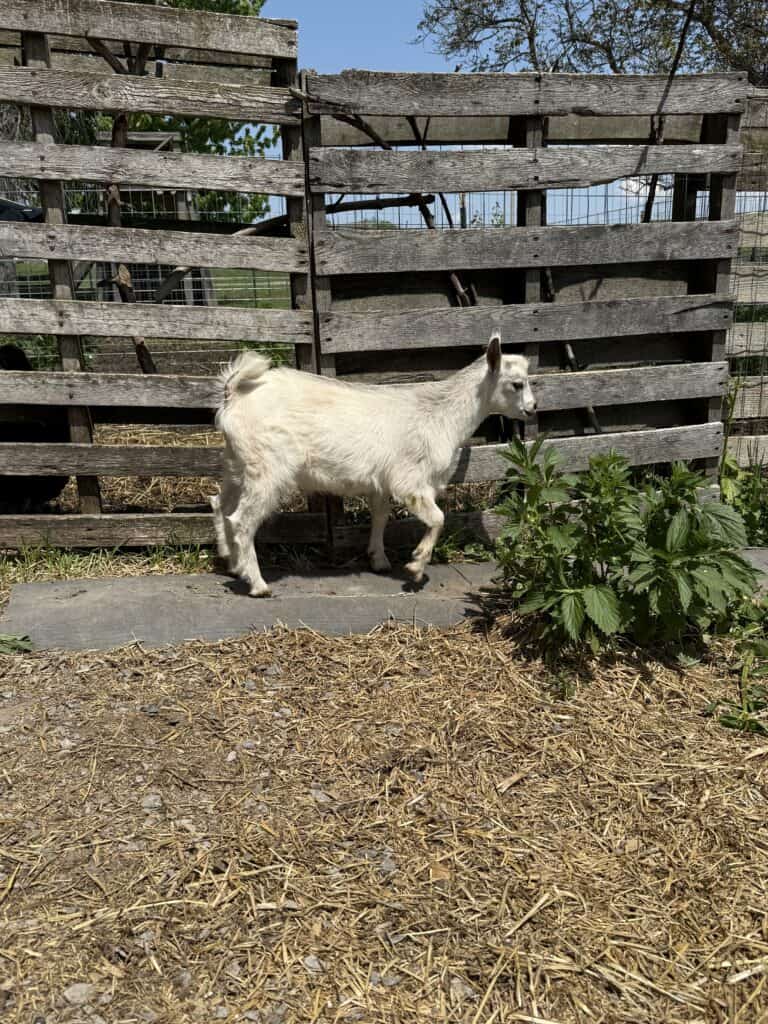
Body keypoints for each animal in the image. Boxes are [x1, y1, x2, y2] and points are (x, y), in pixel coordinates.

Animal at [212, 332, 536, 597]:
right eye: (517, 384)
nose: (533, 409)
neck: (442, 415)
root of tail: (234, 394)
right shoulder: (410, 481)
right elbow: (438, 518)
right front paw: (415, 566)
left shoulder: (381, 483)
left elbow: (380, 516)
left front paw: (379, 559)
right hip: (267, 468)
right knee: (241, 520)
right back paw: (258, 584)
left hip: (237, 464)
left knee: (220, 505)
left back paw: (233, 564)